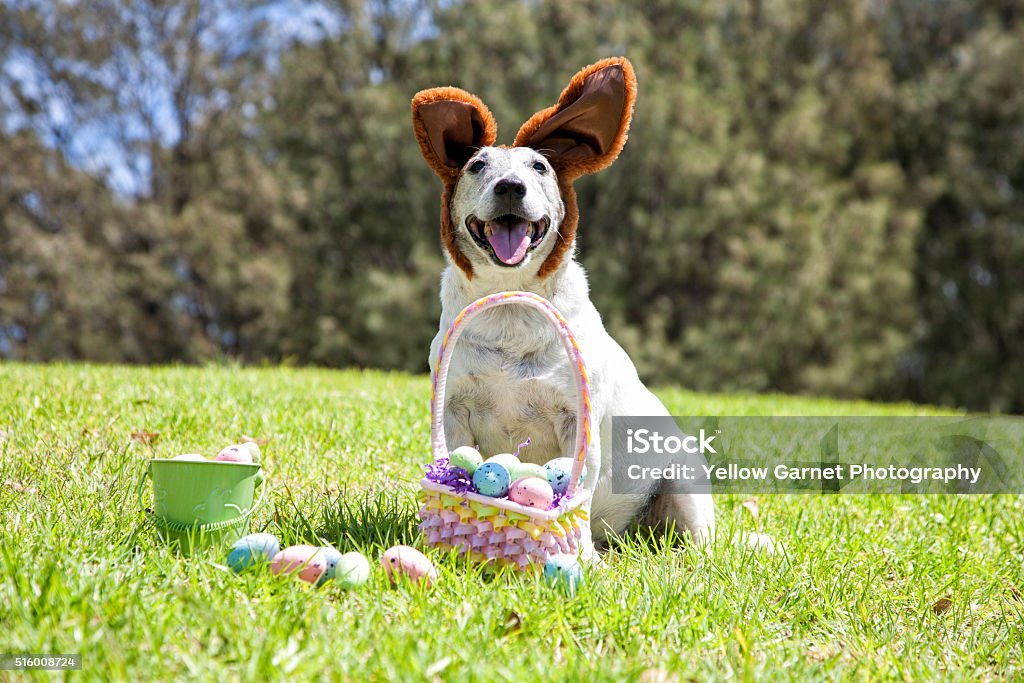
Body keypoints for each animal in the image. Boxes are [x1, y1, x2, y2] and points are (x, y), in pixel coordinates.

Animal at [411, 57, 716, 561]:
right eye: (477, 165)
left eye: (539, 166)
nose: (510, 187)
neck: (511, 302)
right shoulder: (452, 411)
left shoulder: (578, 423)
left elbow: (581, 488)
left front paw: (580, 558)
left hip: (684, 482)